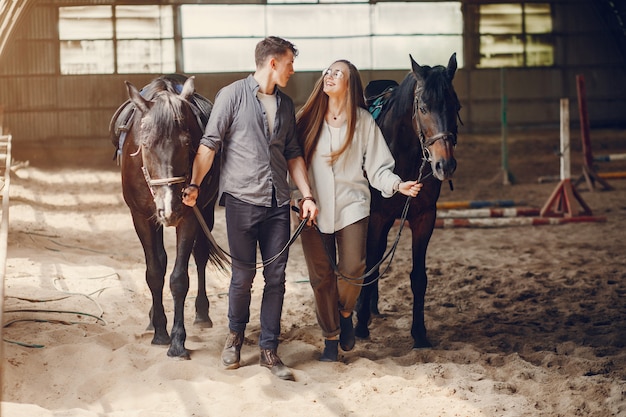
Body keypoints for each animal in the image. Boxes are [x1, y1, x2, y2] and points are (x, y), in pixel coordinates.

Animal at [109, 74, 227, 358]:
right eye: (146, 144)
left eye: (187, 144)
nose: (170, 207)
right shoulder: (140, 217)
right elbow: (154, 272)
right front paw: (160, 331)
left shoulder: (191, 217)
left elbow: (179, 279)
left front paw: (177, 341)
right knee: (160, 261)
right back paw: (153, 319)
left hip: (205, 212)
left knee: (200, 256)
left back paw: (202, 314)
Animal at [356, 54, 458, 348]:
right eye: (423, 108)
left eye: (455, 105)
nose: (444, 165)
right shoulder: (376, 217)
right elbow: (368, 265)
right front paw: (360, 325)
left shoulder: (424, 218)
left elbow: (419, 277)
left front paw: (419, 333)